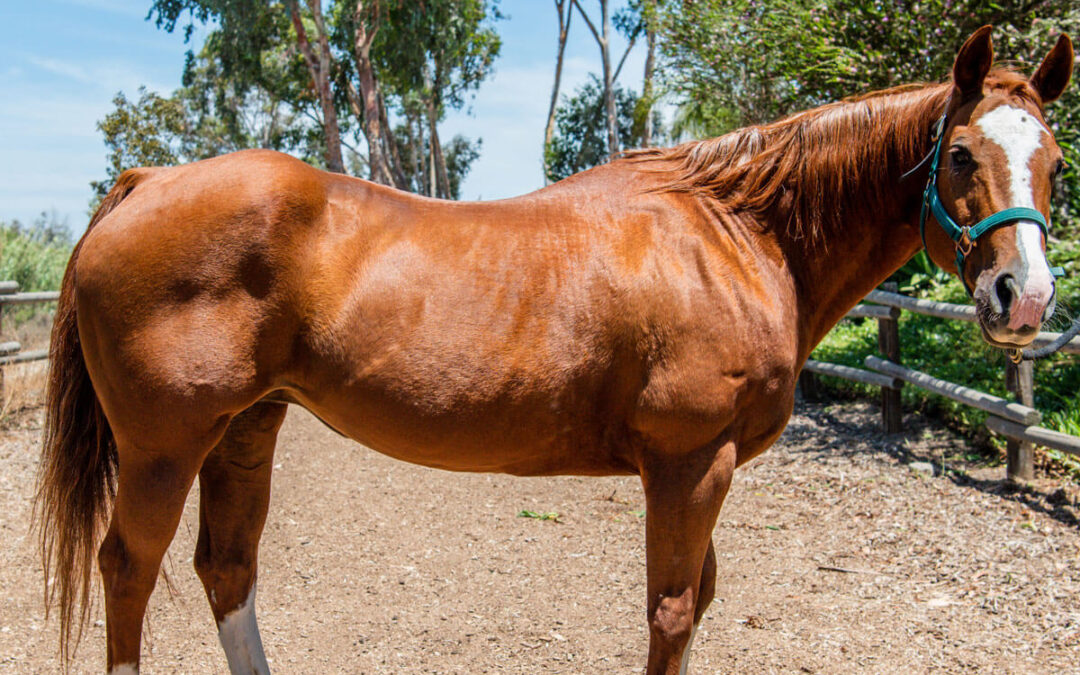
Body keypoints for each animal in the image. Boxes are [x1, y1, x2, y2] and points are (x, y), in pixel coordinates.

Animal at [36, 26, 1072, 674]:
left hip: (248, 428)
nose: (1023, 298)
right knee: (128, 569)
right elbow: (673, 609)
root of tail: (145, 181)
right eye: (961, 156)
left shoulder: (703, 470)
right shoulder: (691, 464)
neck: (735, 233)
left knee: (226, 569)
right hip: (165, 445)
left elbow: (698, 598)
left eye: (1055, 161)